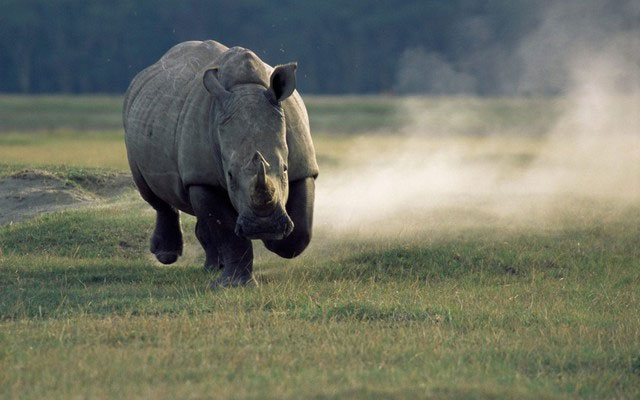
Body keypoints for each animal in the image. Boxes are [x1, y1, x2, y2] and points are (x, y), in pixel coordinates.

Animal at [123, 40, 318, 287]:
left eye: (285, 168)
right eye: (230, 175)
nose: (263, 226)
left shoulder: (303, 167)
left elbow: (300, 232)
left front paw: (275, 240)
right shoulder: (201, 177)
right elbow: (226, 231)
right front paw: (234, 285)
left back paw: (213, 267)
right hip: (133, 121)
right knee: (152, 195)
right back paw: (167, 256)